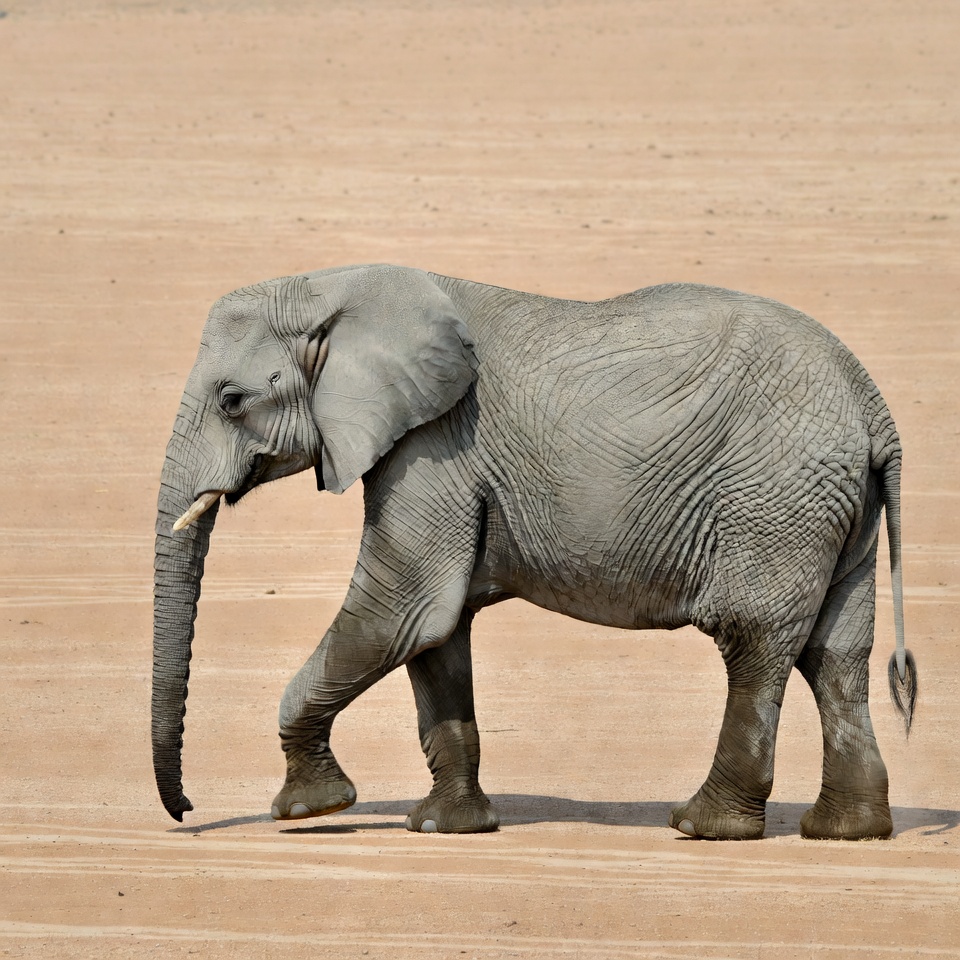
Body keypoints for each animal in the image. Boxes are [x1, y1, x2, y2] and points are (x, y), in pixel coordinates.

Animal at [153, 263, 918, 841]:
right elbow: (436, 632)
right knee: (835, 653)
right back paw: (847, 832)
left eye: (231, 401)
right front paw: (445, 827)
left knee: (754, 641)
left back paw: (704, 827)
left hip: (775, 496)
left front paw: (311, 809)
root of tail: (873, 406)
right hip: (831, 506)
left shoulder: (434, 445)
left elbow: (404, 611)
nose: (186, 812)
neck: (338, 287)